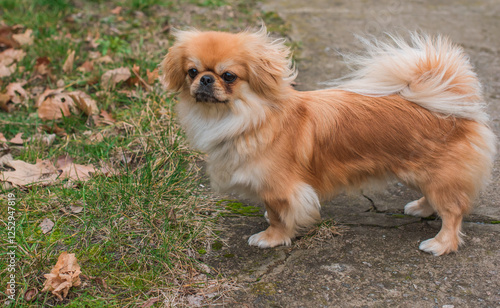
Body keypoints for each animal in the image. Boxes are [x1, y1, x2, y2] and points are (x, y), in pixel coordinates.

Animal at [161, 27, 496, 256]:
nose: (205, 79)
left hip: (437, 176)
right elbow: (272, 209)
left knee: (453, 211)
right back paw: (421, 208)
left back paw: (440, 244)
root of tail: (453, 106)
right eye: (192, 71)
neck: (246, 117)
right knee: (436, 199)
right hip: (420, 173)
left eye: (228, 75)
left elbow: (280, 216)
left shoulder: (283, 188)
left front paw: (271, 237)